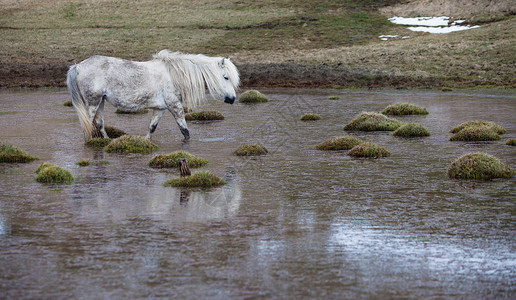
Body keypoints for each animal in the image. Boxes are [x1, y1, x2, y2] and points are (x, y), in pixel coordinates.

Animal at [66, 50, 240, 141]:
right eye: (226, 77)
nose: (231, 99)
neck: (174, 75)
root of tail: (78, 66)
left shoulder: (161, 108)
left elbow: (152, 128)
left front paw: (146, 142)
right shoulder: (175, 106)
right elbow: (185, 131)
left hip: (100, 101)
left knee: (99, 124)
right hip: (93, 103)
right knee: (88, 125)